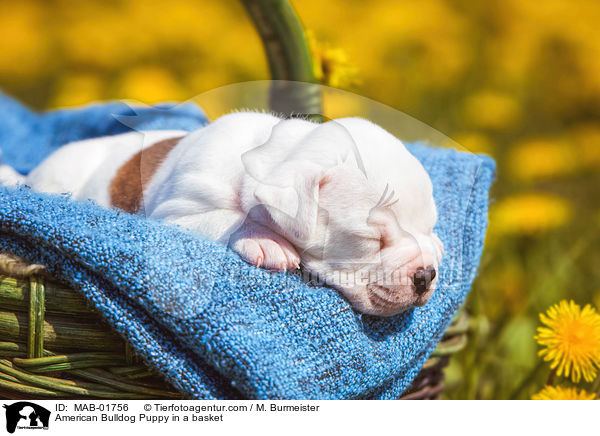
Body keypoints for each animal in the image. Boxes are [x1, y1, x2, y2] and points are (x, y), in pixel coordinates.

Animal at [2, 112, 442, 316]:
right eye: (373, 240)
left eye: (429, 227)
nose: (426, 276)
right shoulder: (176, 214)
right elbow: (230, 218)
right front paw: (265, 240)